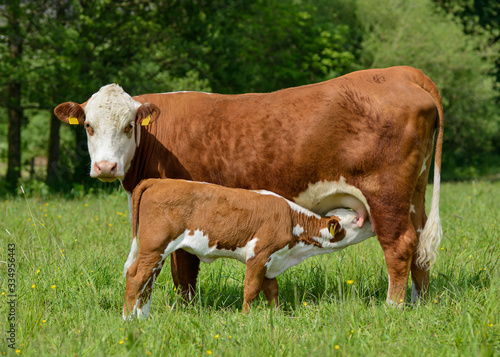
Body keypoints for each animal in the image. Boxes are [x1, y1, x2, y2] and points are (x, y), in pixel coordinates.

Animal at [55, 66, 446, 304]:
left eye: (129, 126)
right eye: (88, 125)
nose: (106, 166)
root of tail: (401, 72)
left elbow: (183, 268)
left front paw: (183, 310)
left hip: (386, 194)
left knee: (399, 244)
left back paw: (393, 306)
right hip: (414, 194)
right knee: (420, 244)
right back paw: (418, 302)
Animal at [124, 178, 376, 318]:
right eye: (355, 220)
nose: (372, 223)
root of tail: (159, 181)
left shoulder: (272, 260)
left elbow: (272, 290)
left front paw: (277, 315)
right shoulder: (259, 255)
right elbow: (251, 289)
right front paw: (246, 317)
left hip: (156, 252)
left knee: (146, 281)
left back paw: (143, 317)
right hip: (155, 246)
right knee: (136, 277)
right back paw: (129, 319)